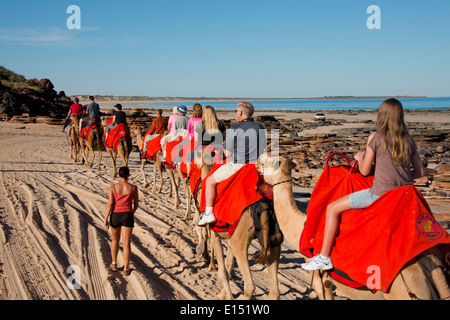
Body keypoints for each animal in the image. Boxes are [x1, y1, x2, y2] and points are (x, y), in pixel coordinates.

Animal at [256, 154, 450, 298]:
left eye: (266, 162)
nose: (256, 161)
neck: (300, 226)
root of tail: (436, 268)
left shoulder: (318, 276)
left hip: (404, 288)